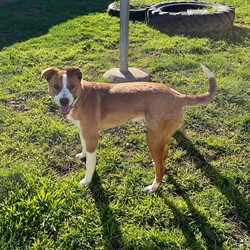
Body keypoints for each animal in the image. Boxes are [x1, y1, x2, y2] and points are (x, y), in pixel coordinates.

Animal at [42, 65, 216, 193]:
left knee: (161, 167)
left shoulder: (92, 136)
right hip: (161, 135)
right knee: (164, 154)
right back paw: (155, 163)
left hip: (152, 137)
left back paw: (152, 187)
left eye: (71, 86)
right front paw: (83, 155)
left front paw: (87, 180)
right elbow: (84, 147)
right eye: (56, 86)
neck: (81, 96)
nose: (64, 101)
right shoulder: (83, 131)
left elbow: (90, 164)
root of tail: (177, 95)